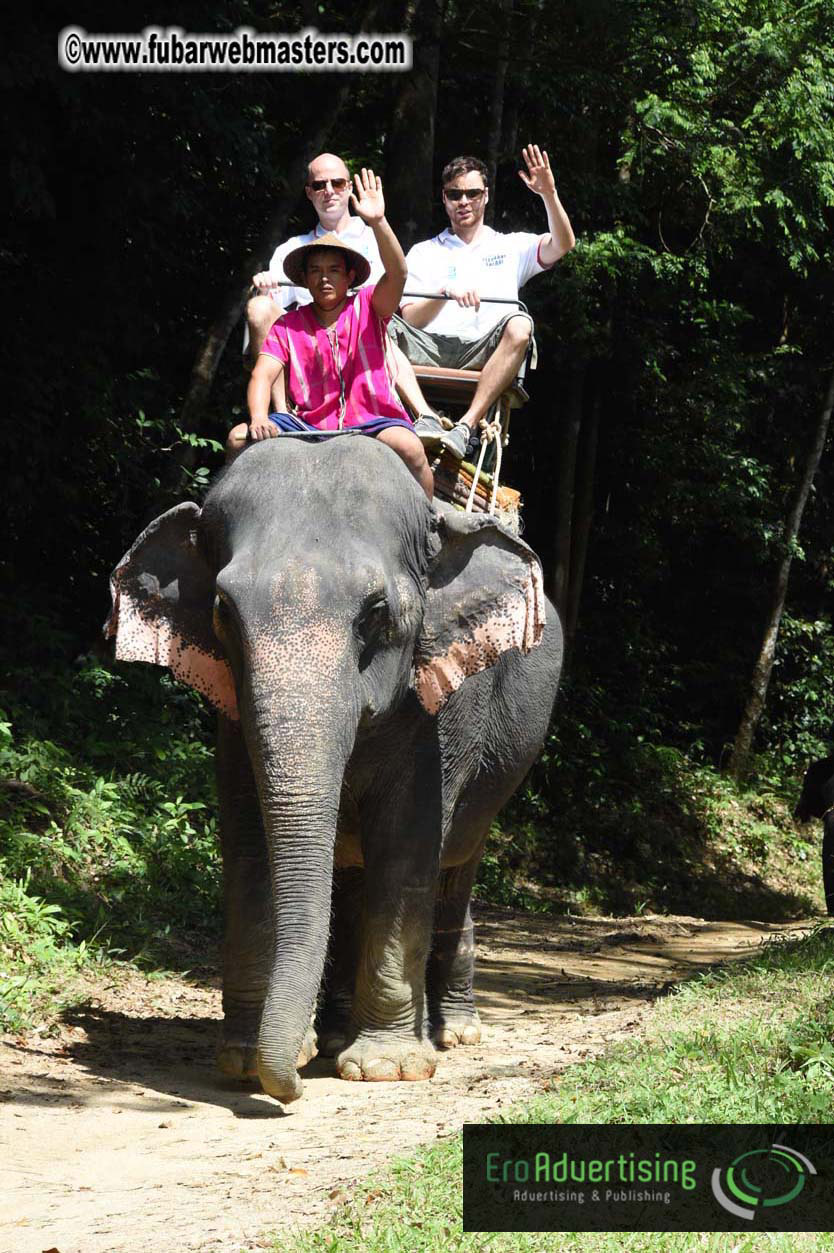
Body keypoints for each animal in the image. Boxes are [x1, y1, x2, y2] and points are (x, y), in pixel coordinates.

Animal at [106, 434, 562, 1103]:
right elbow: (249, 846)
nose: (288, 1088)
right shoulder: (232, 716)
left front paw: (387, 1068)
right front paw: (246, 1061)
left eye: (375, 612)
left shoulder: (439, 704)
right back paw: (335, 1034)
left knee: (456, 867)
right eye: (222, 610)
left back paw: (452, 1034)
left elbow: (405, 846)